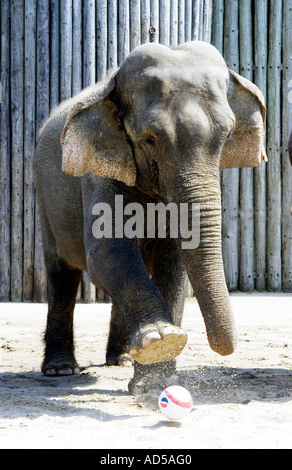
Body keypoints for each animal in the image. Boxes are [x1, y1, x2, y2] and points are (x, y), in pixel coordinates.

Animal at [33, 41, 266, 392]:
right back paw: (61, 370)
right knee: (62, 274)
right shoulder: (97, 169)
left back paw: (122, 360)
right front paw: (162, 341)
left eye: (226, 138)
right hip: (45, 198)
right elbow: (108, 251)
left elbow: (174, 263)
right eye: (150, 140)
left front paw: (154, 382)